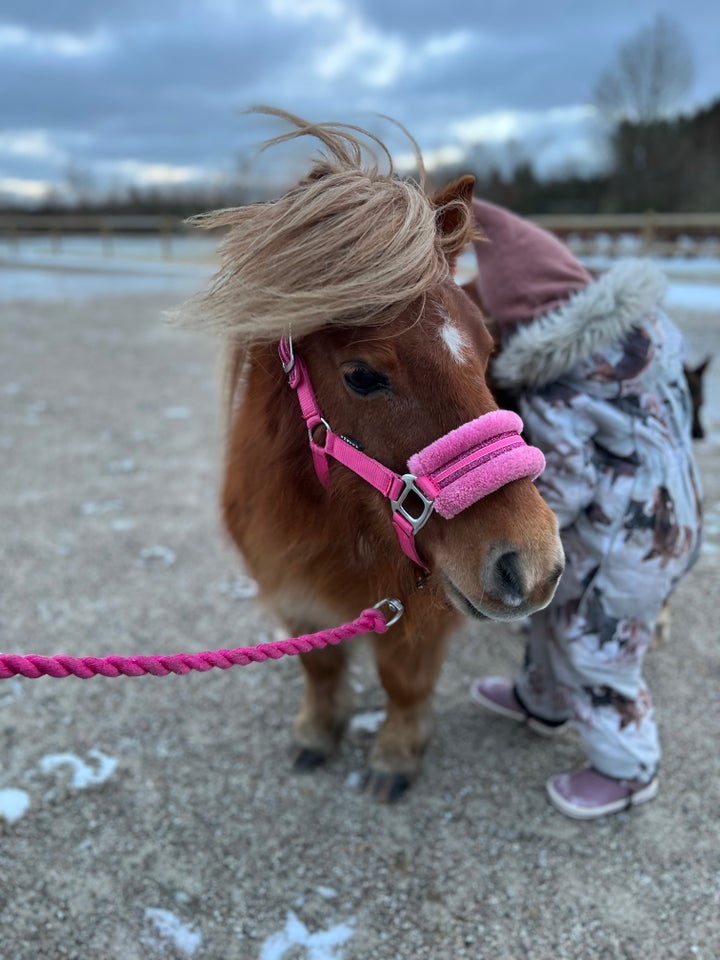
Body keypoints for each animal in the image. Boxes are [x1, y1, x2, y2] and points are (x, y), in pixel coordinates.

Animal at [183, 110, 564, 804]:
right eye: (362, 375)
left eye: (487, 347)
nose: (531, 564)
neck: (335, 519)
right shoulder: (294, 595)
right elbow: (320, 667)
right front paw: (316, 733)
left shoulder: (424, 609)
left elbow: (404, 683)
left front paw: (395, 757)